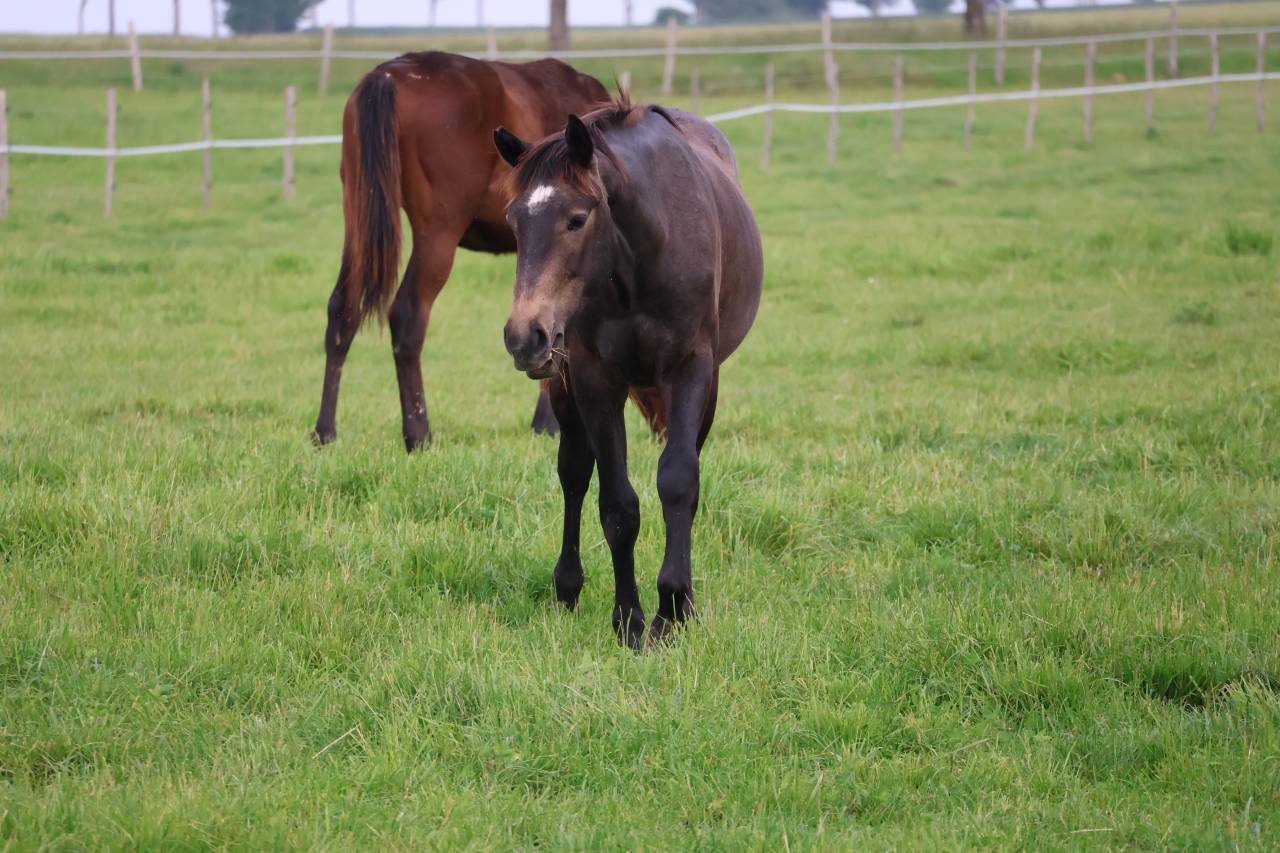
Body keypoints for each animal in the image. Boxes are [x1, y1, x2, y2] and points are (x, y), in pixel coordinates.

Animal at [312, 52, 611, 452]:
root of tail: (387, 76)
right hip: (437, 235)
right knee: (408, 315)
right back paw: (418, 433)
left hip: (358, 219)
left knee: (342, 311)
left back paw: (325, 431)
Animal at [492, 96, 763, 648]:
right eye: (514, 221)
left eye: (576, 219)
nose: (523, 335)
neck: (640, 257)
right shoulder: (595, 379)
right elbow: (616, 504)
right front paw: (630, 620)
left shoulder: (689, 371)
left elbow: (679, 481)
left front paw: (673, 609)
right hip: (562, 385)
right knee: (574, 474)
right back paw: (567, 587)